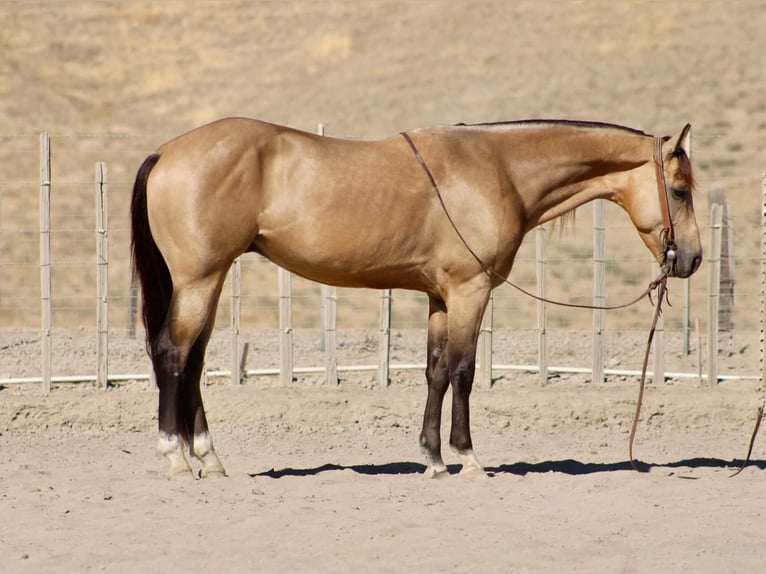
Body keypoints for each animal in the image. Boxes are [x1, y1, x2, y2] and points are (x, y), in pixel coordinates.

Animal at [130, 117, 701, 479]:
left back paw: (208, 458)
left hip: (210, 280)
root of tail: (168, 152)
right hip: (200, 280)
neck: (497, 169)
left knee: (193, 361)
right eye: (679, 190)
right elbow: (464, 371)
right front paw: (467, 457)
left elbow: (436, 372)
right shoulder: (470, 291)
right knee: (175, 354)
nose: (691, 259)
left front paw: (432, 459)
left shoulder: (440, 297)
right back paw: (176, 456)